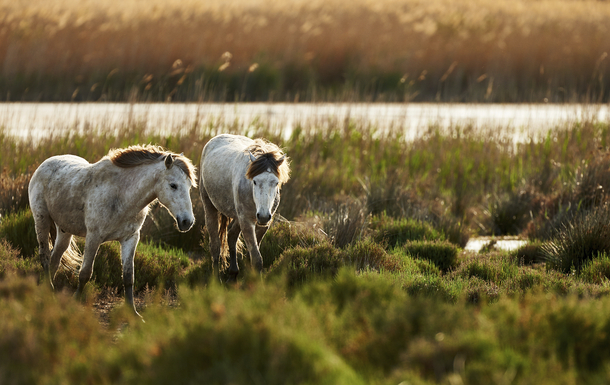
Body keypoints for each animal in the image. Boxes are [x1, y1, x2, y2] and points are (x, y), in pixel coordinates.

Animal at [28, 146, 196, 316]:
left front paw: (133, 313)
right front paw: (74, 304)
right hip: (41, 220)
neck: (122, 194)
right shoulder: (93, 237)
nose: (187, 222)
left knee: (55, 260)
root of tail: (45, 164)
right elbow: (85, 273)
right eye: (173, 185)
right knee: (45, 257)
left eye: (189, 186)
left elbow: (128, 276)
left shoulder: (130, 238)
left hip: (65, 231)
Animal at [197, 134, 288, 278]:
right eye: (255, 181)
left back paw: (233, 272)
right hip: (210, 206)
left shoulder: (263, 224)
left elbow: (253, 255)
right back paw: (216, 278)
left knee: (231, 235)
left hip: (238, 216)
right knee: (215, 245)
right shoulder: (246, 221)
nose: (263, 216)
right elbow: (256, 258)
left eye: (276, 182)